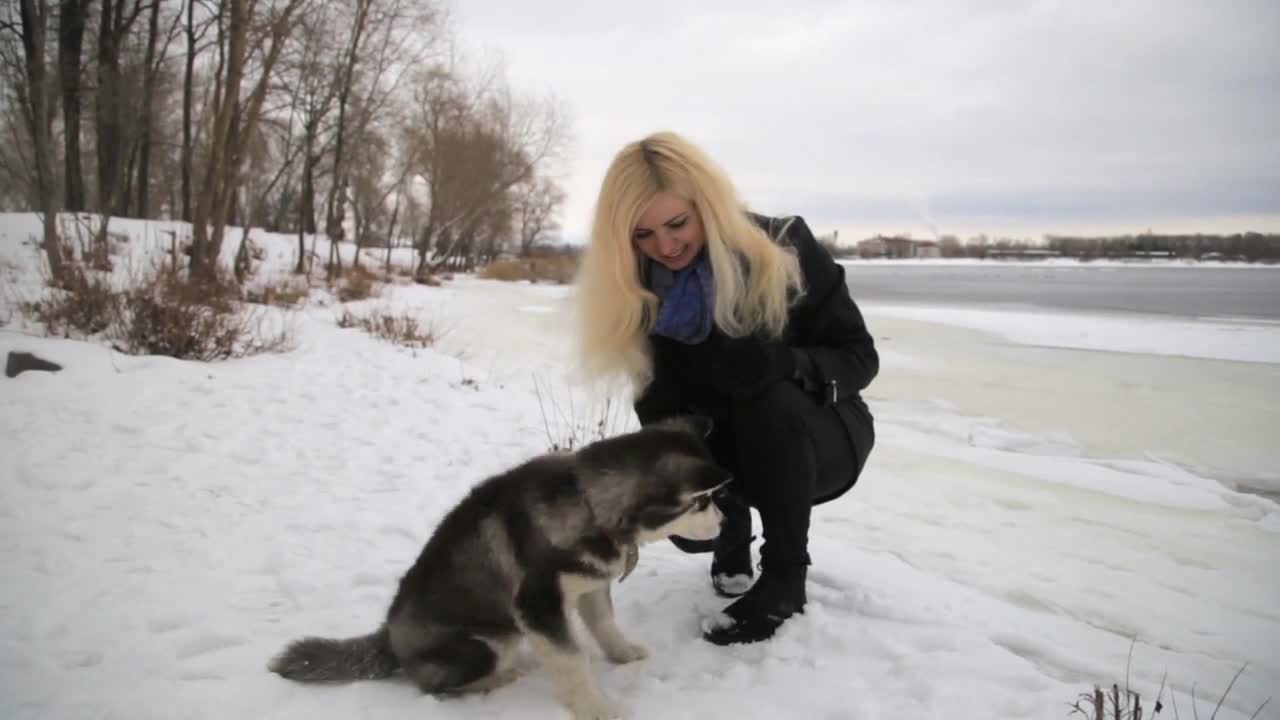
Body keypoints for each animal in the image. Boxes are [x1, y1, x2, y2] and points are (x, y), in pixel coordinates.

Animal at [267, 415, 732, 717]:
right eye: (702, 502)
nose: (725, 523)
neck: (588, 503)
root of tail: (388, 638)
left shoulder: (592, 583)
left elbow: (604, 624)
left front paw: (622, 653)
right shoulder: (538, 606)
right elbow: (572, 661)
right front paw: (597, 708)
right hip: (481, 644)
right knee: (437, 685)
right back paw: (501, 678)